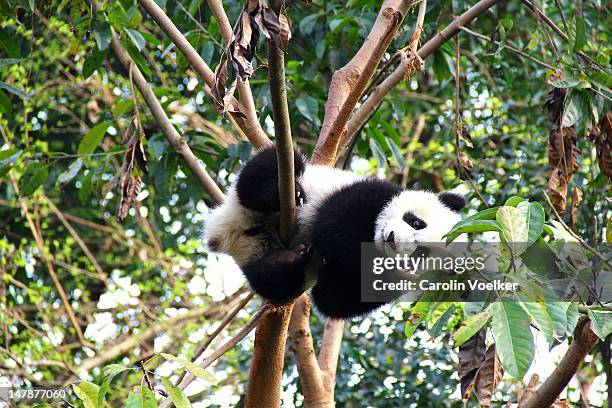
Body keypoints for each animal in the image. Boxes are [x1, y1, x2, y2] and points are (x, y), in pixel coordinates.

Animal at [203, 145, 466, 320]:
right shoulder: (366, 193)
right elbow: (333, 224)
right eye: (416, 222)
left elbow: (333, 300)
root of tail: (226, 233)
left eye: (421, 253)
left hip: (258, 258)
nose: (391, 239)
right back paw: (287, 193)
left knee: (273, 281)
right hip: (272, 183)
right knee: (269, 169)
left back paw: (288, 261)